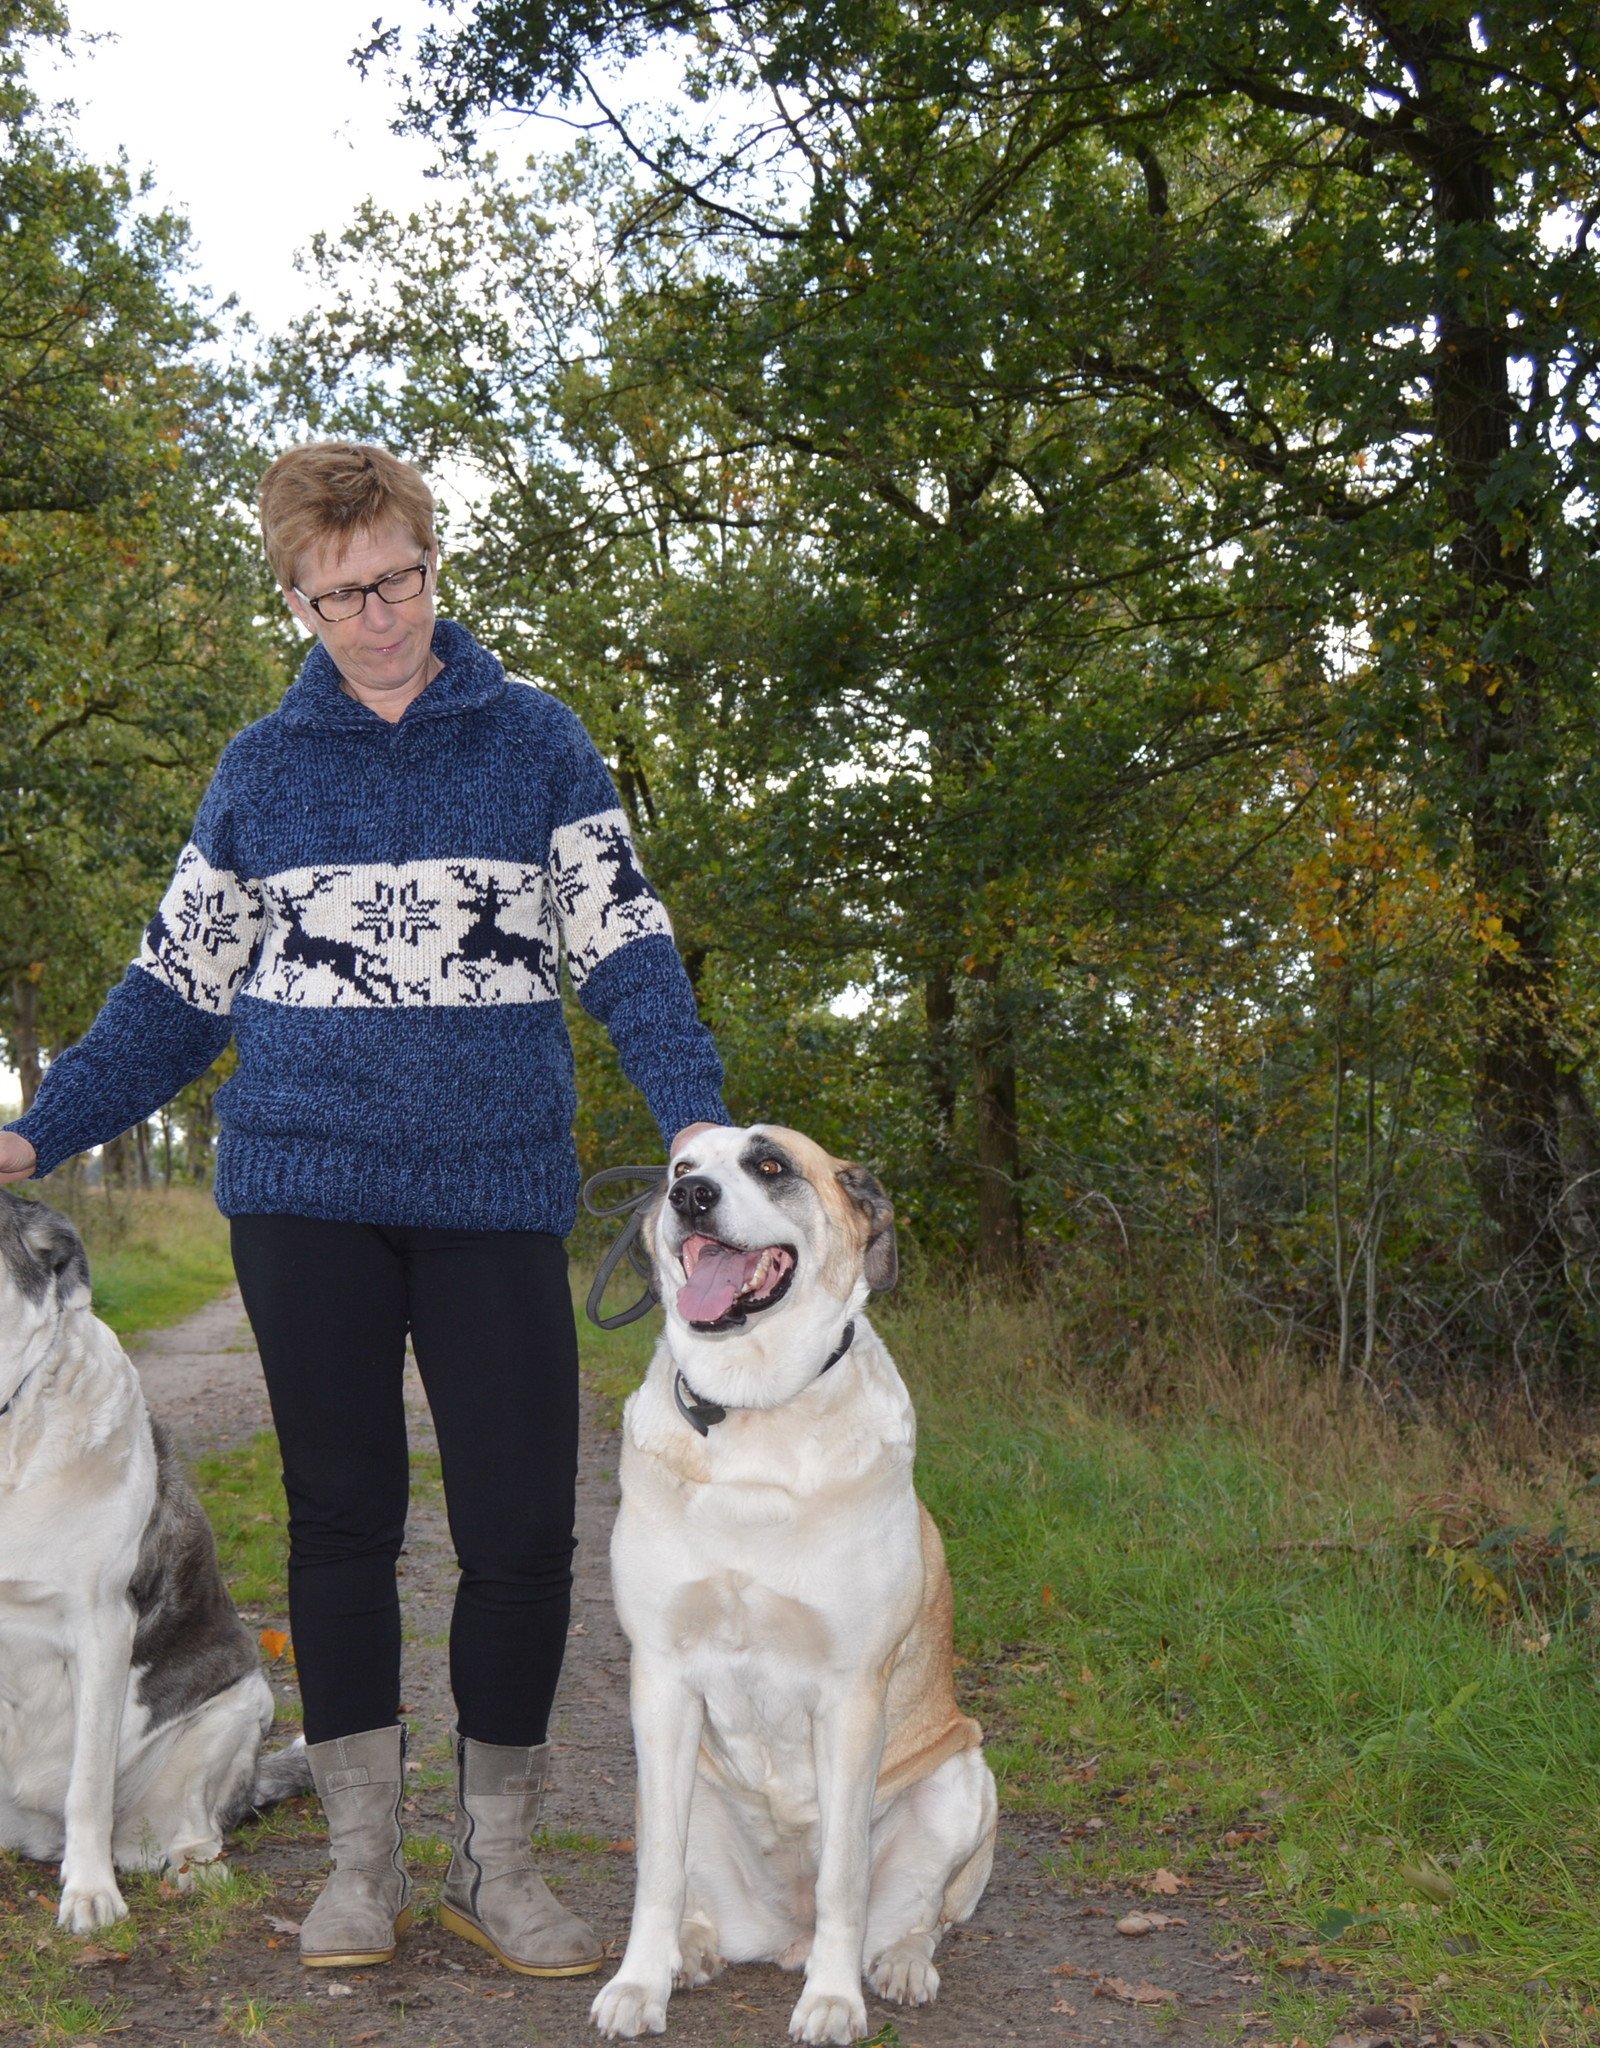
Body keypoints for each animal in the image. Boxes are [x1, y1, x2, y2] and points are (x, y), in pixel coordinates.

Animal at [0, 1187, 305, 1916]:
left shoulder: (101, 1625)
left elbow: (88, 1785)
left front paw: (90, 1895)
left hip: (238, 1708)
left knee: (191, 1827)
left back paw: (191, 1865)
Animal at [594, 1130, 991, 2039]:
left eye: (769, 1165)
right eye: (681, 1166)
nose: (690, 1197)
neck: (752, 1411)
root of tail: (786, 1935)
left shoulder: (851, 1695)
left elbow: (846, 1873)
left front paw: (834, 2000)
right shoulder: (660, 1679)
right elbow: (657, 1872)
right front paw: (639, 1983)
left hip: (966, 1778)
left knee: (922, 1915)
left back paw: (897, 1965)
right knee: (689, 1888)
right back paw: (690, 1953)